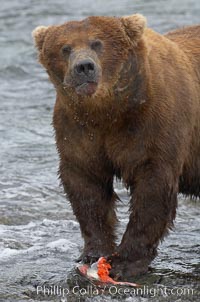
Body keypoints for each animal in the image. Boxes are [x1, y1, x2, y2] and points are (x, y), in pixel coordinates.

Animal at [32, 13, 199, 278]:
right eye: (65, 48)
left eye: (97, 43)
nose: (84, 67)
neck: (111, 111)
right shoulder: (78, 130)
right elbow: (87, 186)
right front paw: (93, 252)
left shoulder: (156, 125)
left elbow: (152, 191)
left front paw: (124, 262)